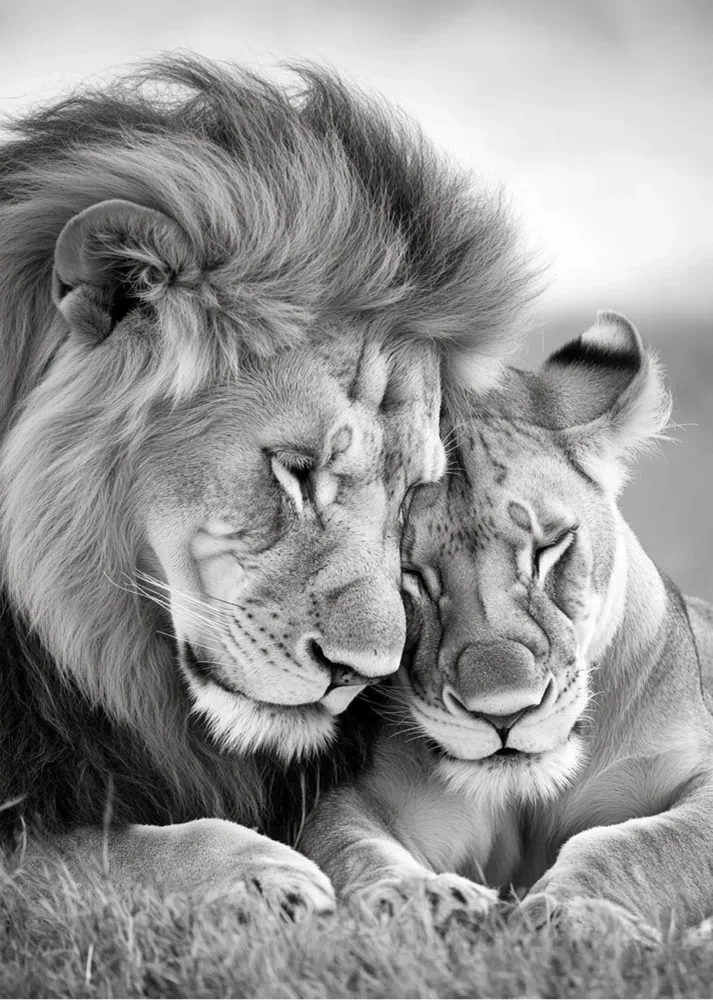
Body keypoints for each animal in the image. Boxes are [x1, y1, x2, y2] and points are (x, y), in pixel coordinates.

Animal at [0, 55, 537, 909]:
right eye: (298, 471)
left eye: (411, 499)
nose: (360, 678)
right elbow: (86, 852)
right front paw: (253, 873)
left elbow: (353, 830)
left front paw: (427, 896)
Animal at [301, 311, 713, 935]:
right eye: (408, 575)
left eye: (548, 548)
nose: (505, 713)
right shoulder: (351, 797)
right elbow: (351, 850)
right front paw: (424, 903)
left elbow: (641, 846)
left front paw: (568, 912)